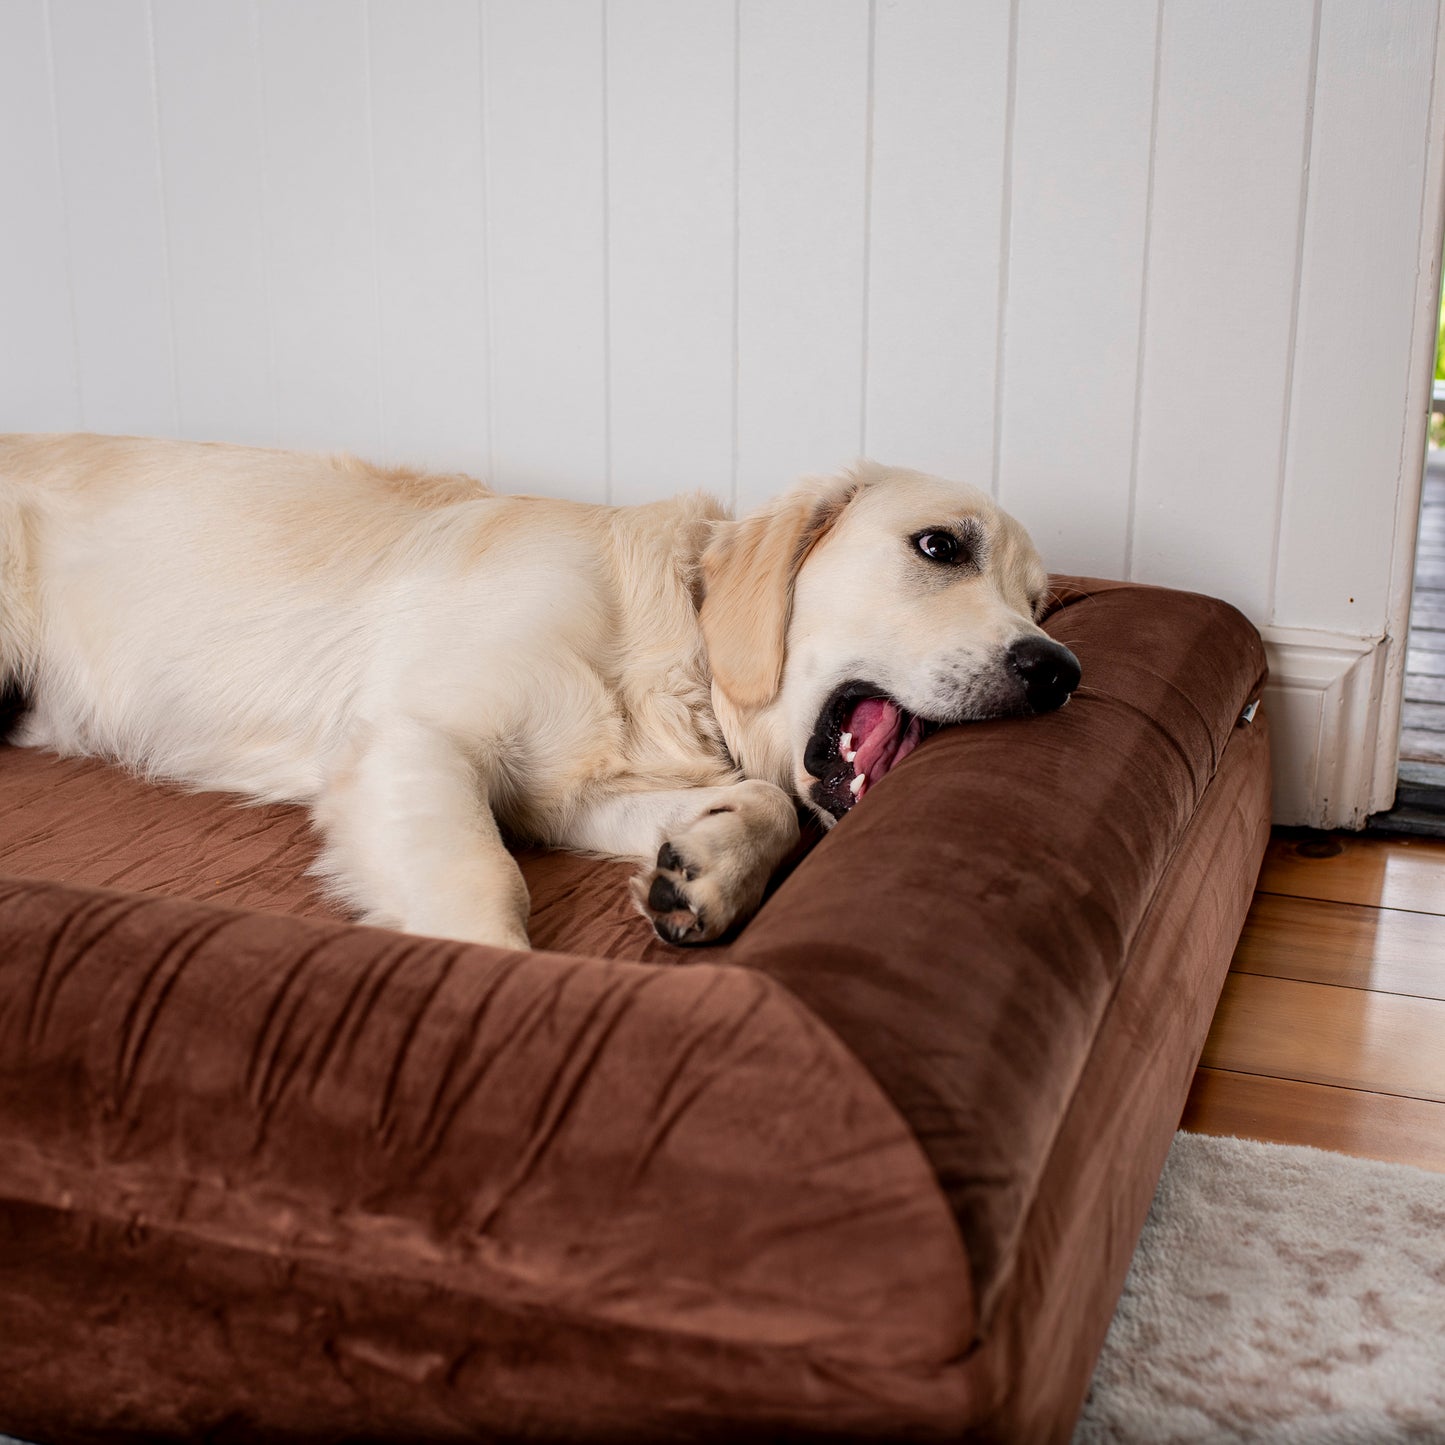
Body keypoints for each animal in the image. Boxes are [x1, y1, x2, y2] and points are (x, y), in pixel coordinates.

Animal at [0, 430, 1080, 947]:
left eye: (1039, 602)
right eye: (937, 546)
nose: (1058, 671)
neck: (664, 639)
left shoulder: (571, 795)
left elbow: (771, 802)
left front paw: (708, 868)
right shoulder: (415, 739)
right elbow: (483, 884)